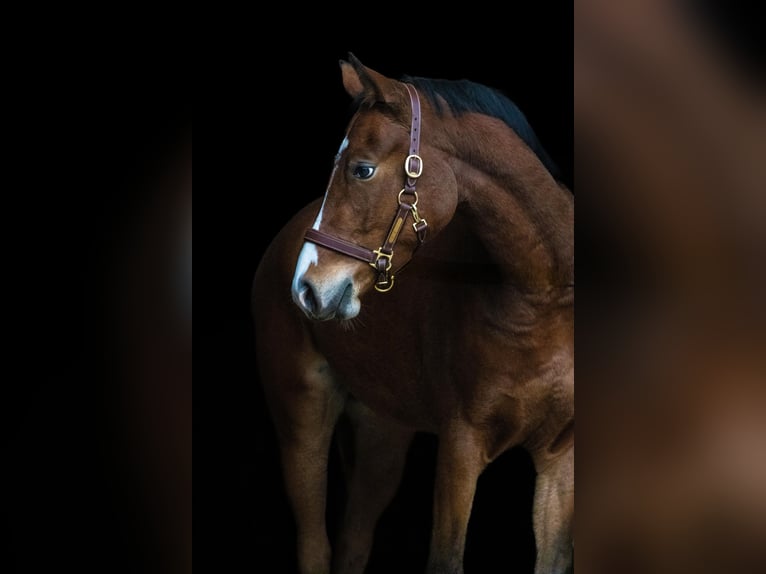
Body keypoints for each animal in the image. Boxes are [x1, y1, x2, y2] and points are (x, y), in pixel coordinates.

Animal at [252, 53, 574, 574]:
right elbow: (445, 558)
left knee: (353, 541)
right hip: (302, 421)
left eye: (362, 169)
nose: (307, 288)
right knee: (315, 545)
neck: (544, 300)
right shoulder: (461, 448)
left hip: (381, 434)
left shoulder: (559, 462)